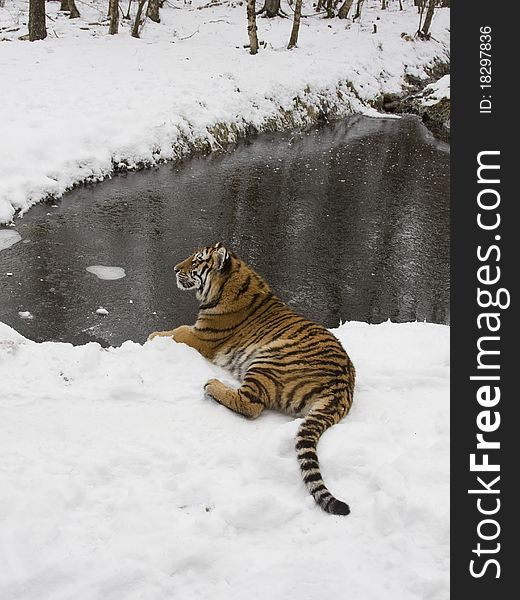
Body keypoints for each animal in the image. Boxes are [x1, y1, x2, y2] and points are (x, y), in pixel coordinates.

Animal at [148, 244, 356, 516]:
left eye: (196, 261)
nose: (174, 269)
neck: (228, 283)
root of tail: (343, 387)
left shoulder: (201, 336)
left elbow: (177, 332)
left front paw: (153, 336)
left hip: (268, 359)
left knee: (251, 404)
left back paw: (212, 386)